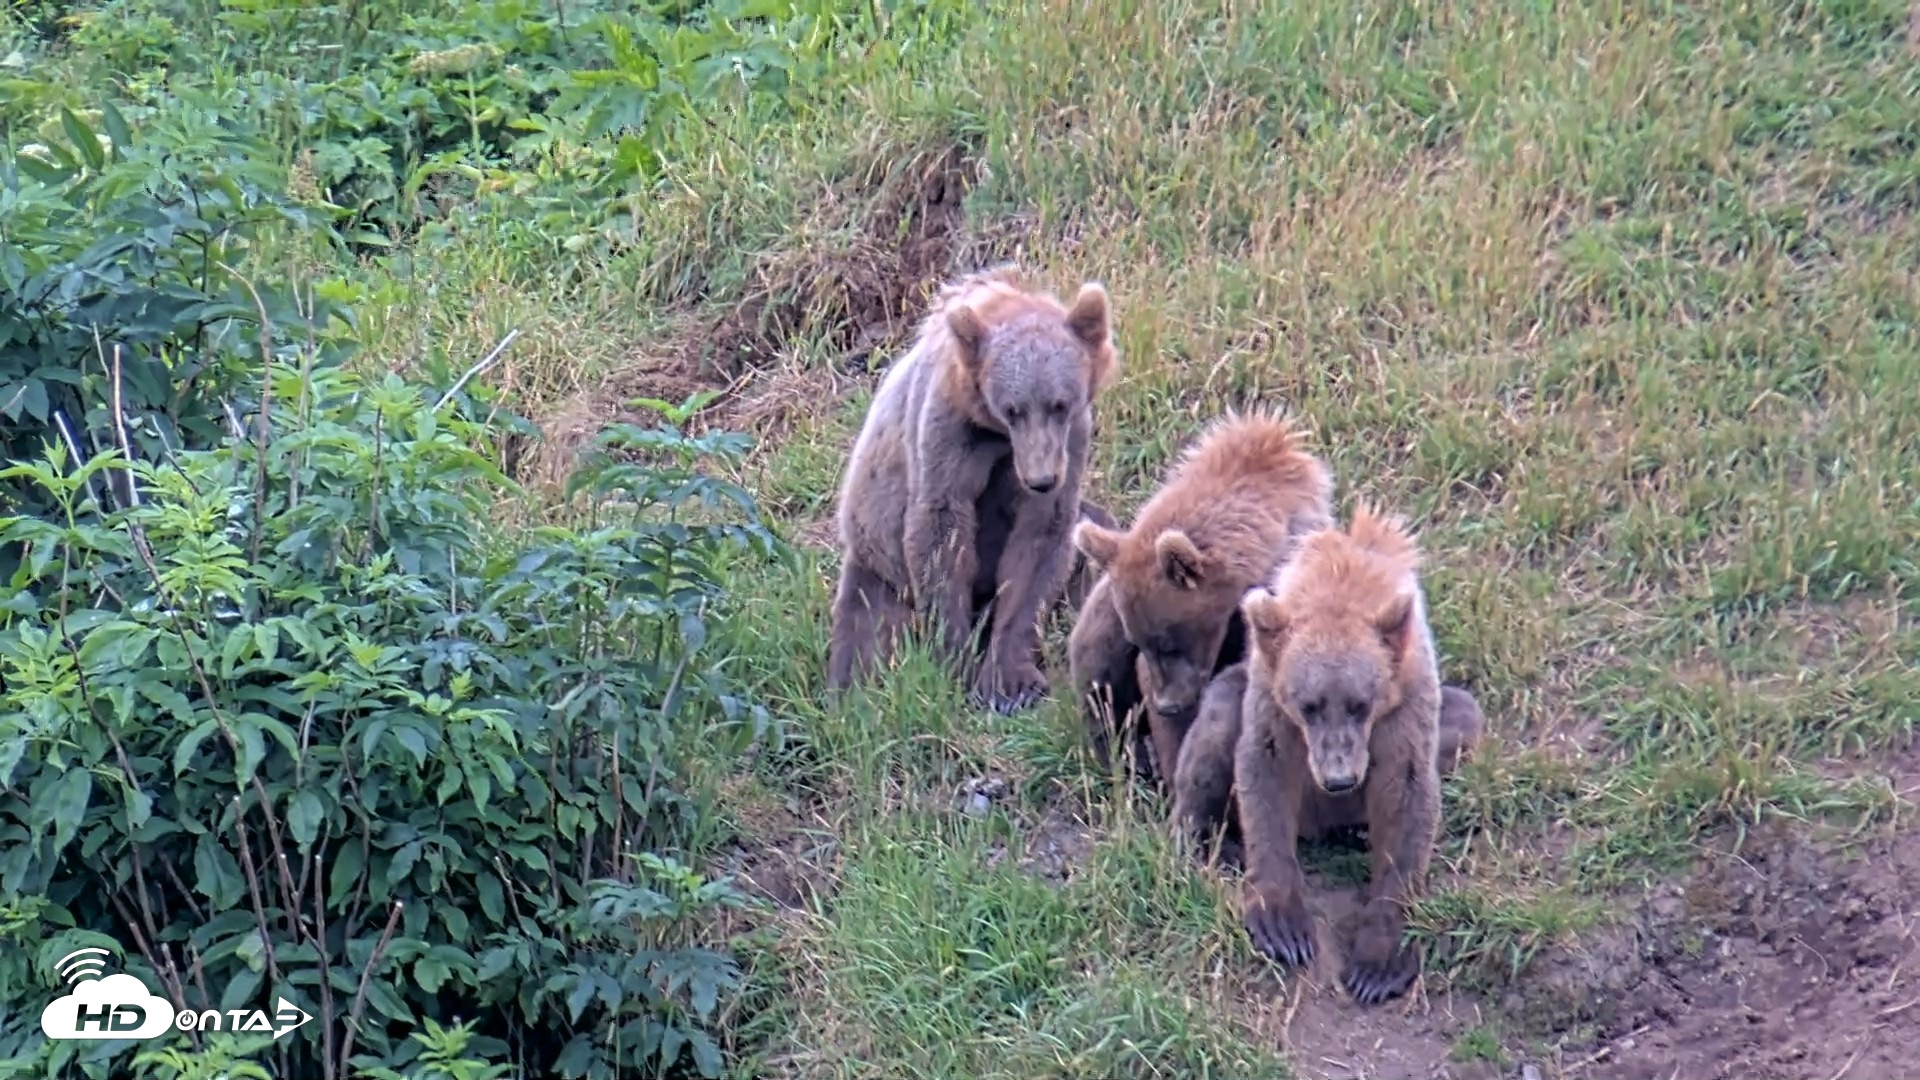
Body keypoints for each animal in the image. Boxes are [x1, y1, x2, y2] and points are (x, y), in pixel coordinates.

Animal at [826, 264, 1120, 713]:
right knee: (867, 633)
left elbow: (1041, 540)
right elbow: (941, 530)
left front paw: (1011, 680)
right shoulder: (949, 430)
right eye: (1012, 409)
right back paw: (856, 693)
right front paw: (958, 662)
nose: (1040, 479)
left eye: (1059, 404)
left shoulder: (1068, 440)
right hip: (877, 563)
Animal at [1196, 504, 1477, 1005]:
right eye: (1308, 705)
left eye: (1360, 703)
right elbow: (1265, 773)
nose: (1339, 780)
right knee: (1219, 712)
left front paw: (1378, 965)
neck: (1340, 584)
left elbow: (1406, 796)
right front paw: (1284, 929)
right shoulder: (1271, 695)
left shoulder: (1406, 703)